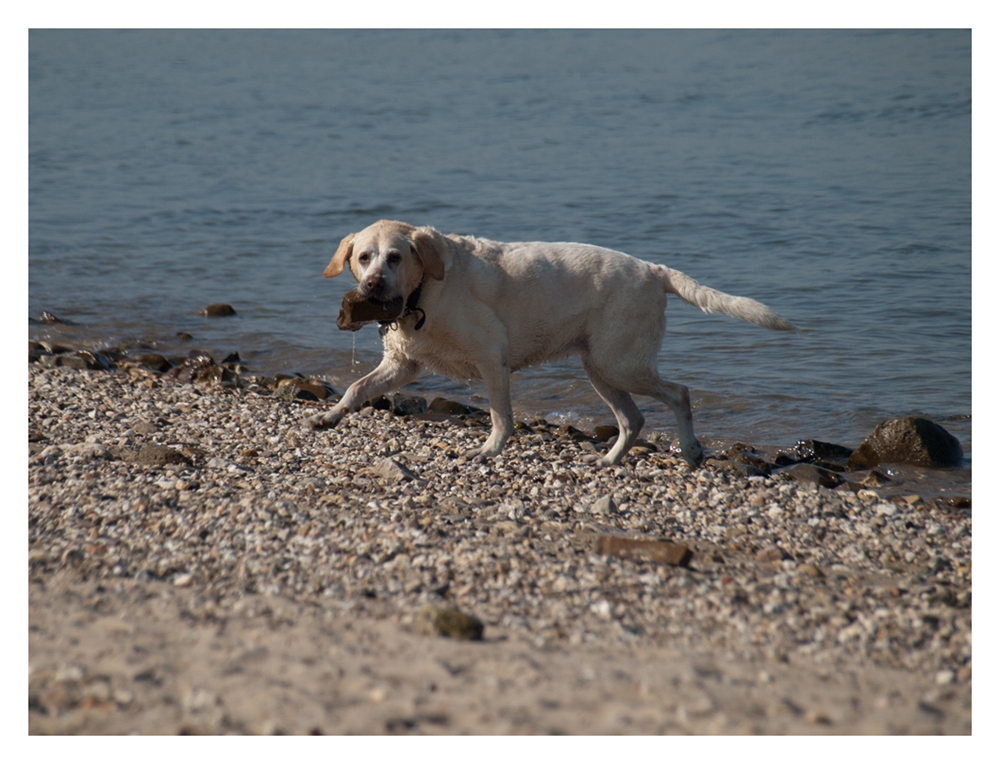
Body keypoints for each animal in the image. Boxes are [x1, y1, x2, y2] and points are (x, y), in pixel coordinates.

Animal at [308, 218, 792, 462]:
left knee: (679, 393)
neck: (424, 291)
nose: (372, 284)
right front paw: (331, 416)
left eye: (394, 257)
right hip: (600, 367)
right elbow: (356, 387)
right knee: (633, 419)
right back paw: (609, 460)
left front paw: (489, 450)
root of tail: (653, 270)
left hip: (621, 364)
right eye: (363, 257)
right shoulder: (403, 365)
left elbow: (501, 416)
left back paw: (690, 449)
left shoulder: (492, 359)